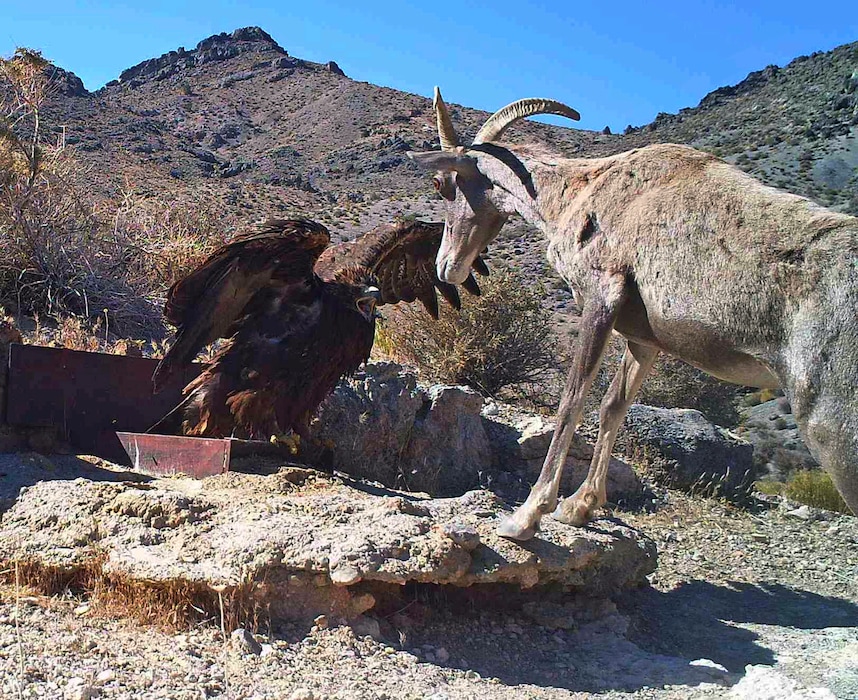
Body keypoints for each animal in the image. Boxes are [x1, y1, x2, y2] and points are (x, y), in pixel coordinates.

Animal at [408, 88, 858, 540]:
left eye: (442, 183)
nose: (447, 267)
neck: (582, 193)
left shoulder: (601, 297)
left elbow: (572, 400)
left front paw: (526, 515)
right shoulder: (643, 341)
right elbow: (613, 406)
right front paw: (579, 507)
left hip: (833, 432)